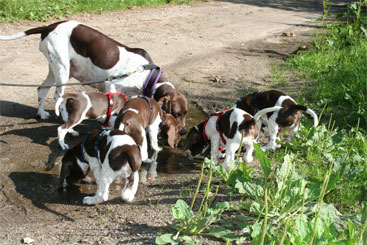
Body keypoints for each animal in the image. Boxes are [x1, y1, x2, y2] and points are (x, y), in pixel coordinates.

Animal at [0, 20, 188, 136]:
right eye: (176, 114)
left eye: (185, 113)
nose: (184, 132)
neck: (147, 75)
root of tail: (48, 27)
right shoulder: (111, 84)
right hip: (62, 70)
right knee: (57, 97)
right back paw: (70, 129)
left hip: (56, 69)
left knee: (42, 89)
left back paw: (41, 113)